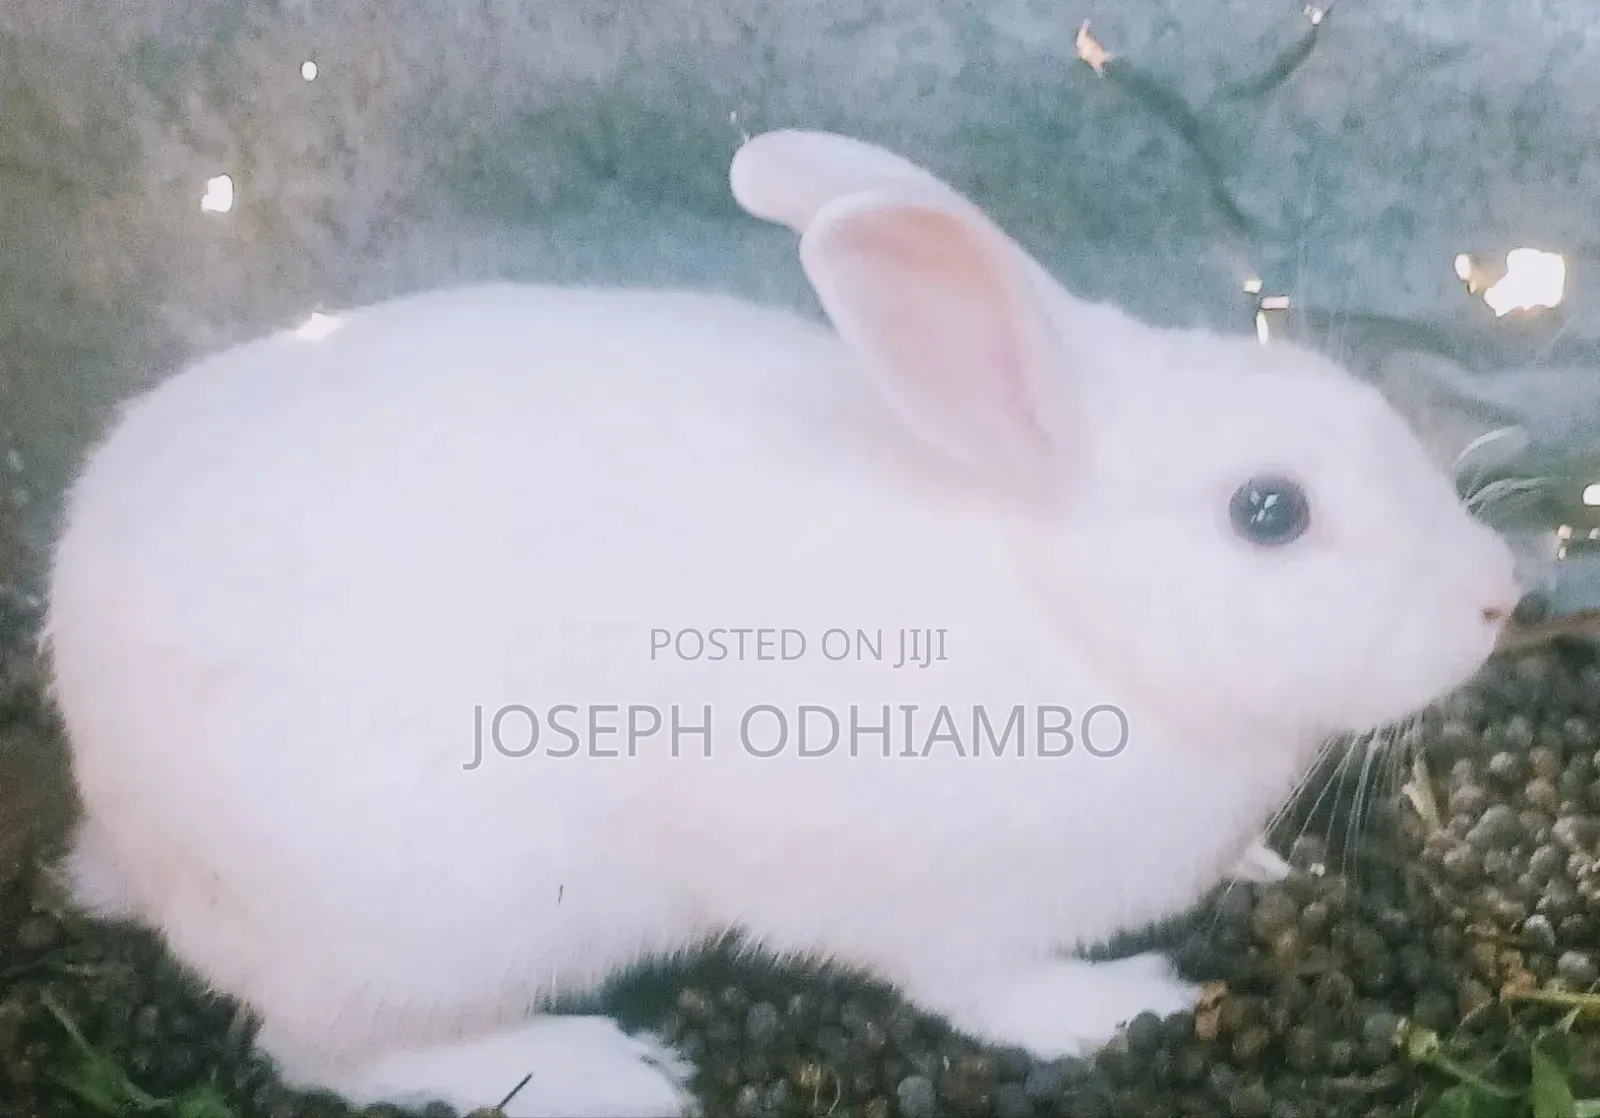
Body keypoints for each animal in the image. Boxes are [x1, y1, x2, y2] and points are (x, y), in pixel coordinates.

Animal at [42, 128, 1523, 1118]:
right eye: (1269, 511)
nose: (1501, 593)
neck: (1076, 616)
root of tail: (111, 797)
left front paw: (1265, 872)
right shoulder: (951, 915)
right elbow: (993, 989)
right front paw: (1132, 1007)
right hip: (427, 921)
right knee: (323, 1050)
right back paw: (604, 1069)